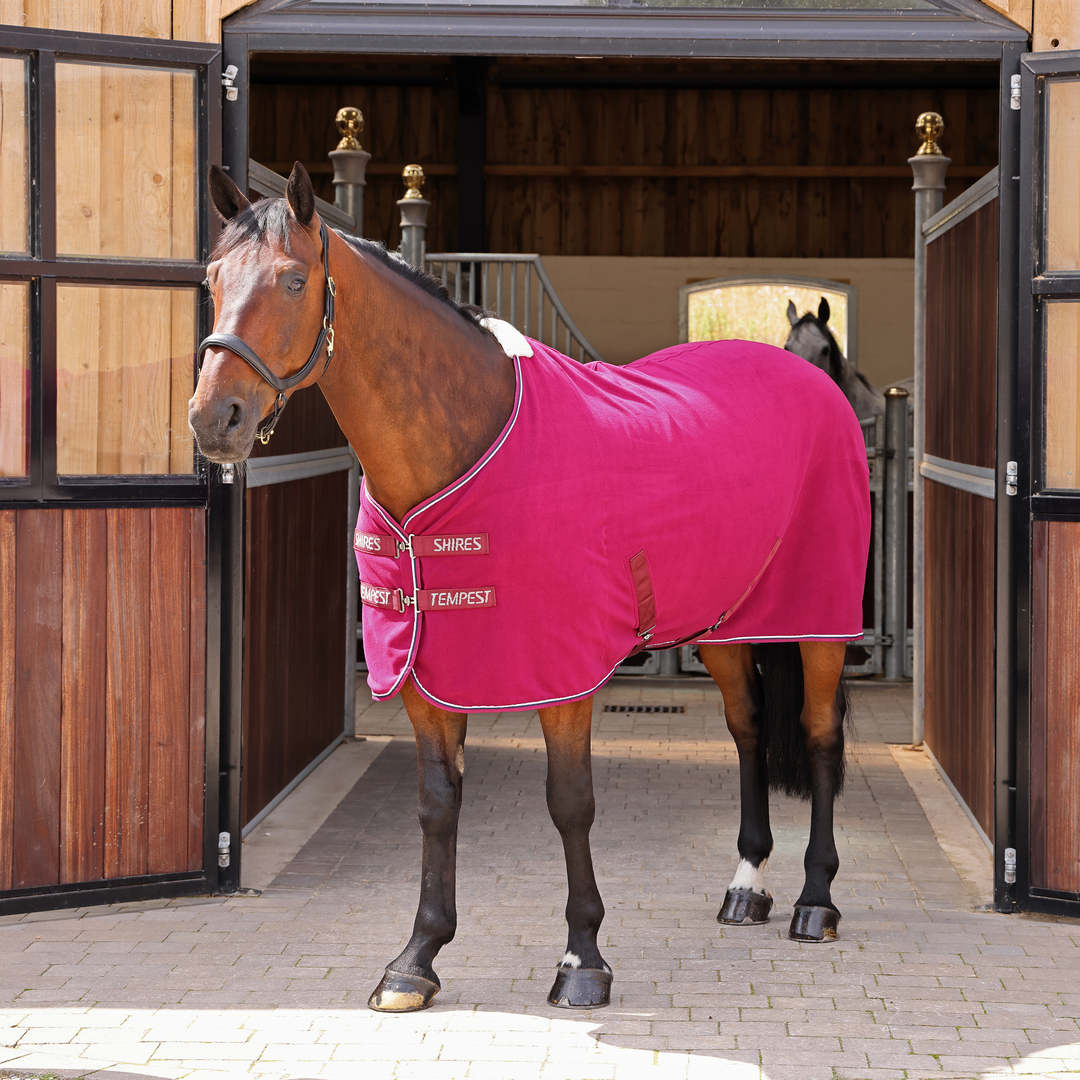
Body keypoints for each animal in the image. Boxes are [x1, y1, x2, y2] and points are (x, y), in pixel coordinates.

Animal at [189, 162, 871, 1015]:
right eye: (213, 278)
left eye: (291, 279)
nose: (214, 419)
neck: (464, 443)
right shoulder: (423, 676)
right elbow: (437, 805)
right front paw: (416, 959)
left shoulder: (563, 677)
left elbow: (570, 804)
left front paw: (583, 960)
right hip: (722, 626)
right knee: (747, 731)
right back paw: (746, 885)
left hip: (818, 623)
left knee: (818, 736)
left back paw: (816, 900)